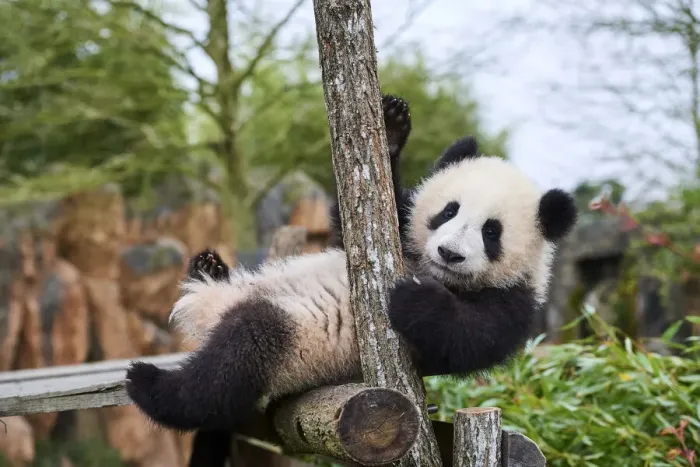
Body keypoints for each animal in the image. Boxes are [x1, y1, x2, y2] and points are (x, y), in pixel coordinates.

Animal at [125, 99, 578, 433]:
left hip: (293, 345)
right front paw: (391, 126)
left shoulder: (512, 301)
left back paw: (149, 384)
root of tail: (209, 309)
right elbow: (358, 219)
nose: (449, 253)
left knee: (233, 363)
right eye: (448, 211)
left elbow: (466, 340)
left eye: (491, 232)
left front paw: (414, 297)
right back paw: (208, 266)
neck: (433, 270)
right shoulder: (401, 237)